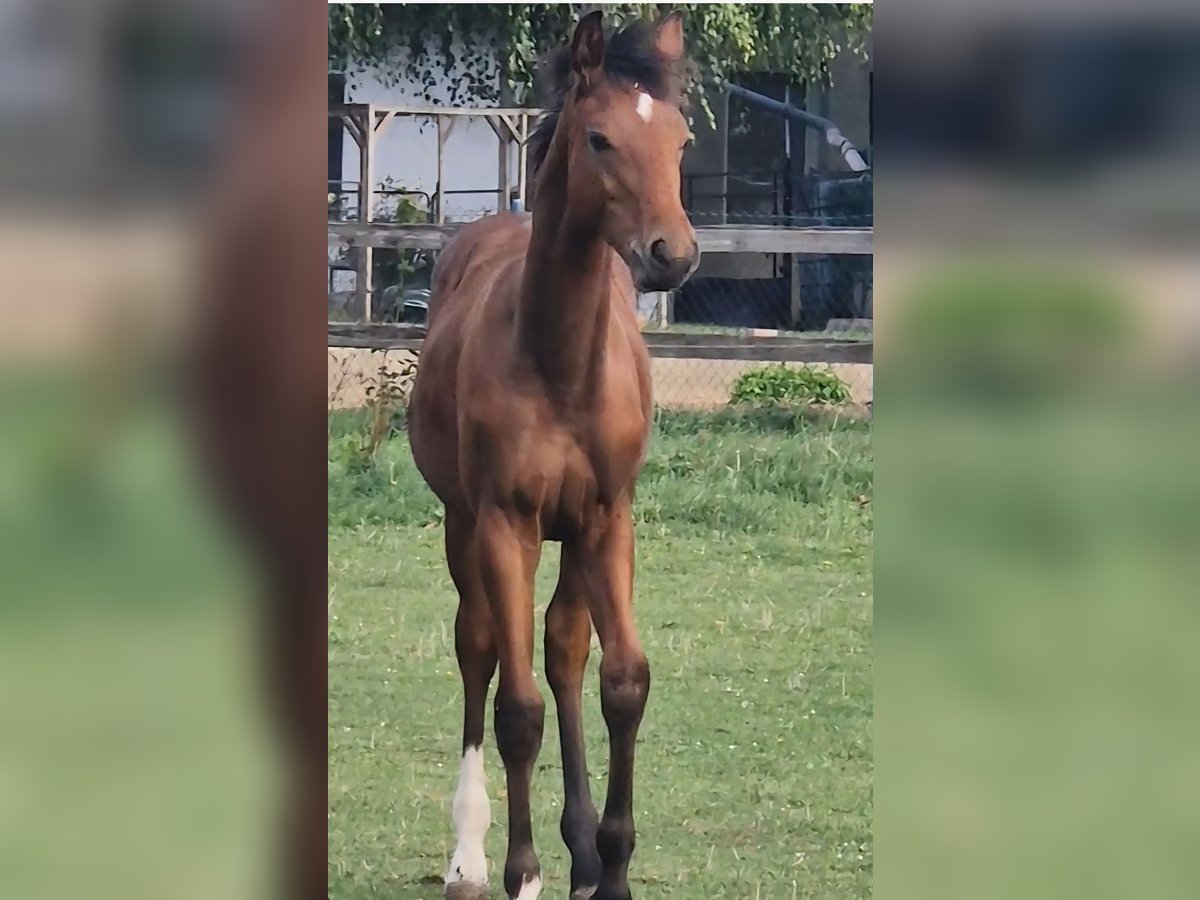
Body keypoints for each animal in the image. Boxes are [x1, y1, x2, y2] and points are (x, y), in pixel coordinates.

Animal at [408, 12, 697, 900]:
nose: (674, 253)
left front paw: (613, 865)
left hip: (570, 537)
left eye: (680, 140)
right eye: (600, 138)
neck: (562, 362)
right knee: (479, 648)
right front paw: (522, 870)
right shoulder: (508, 523)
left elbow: (622, 679)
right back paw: (470, 855)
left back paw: (583, 856)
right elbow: (518, 708)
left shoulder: (608, 519)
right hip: (465, 525)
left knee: (565, 648)